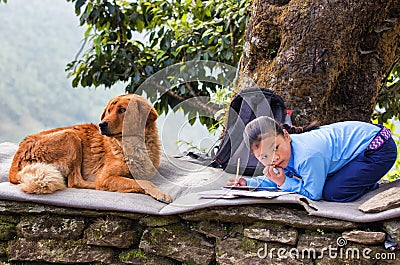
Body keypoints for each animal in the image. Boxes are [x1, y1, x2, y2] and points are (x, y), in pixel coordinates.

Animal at [7, 94, 173, 201]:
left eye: (122, 110)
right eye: (108, 111)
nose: (102, 124)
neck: (132, 145)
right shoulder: (106, 177)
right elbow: (142, 182)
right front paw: (161, 193)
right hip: (71, 136)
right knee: (75, 182)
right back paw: (95, 185)